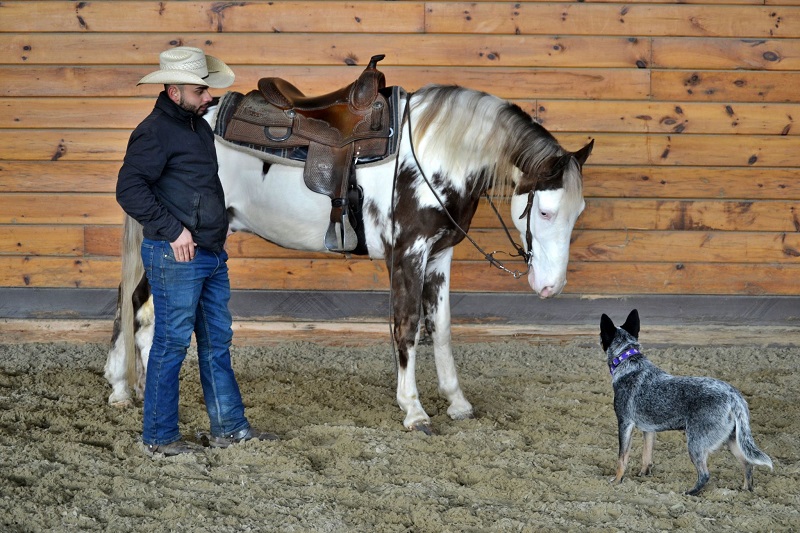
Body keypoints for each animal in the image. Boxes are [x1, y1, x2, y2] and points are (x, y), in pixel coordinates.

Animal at [104, 83, 594, 433]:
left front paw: (457, 402)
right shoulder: (408, 253)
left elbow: (442, 327)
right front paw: (414, 410)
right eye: (545, 212)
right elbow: (407, 328)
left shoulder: (439, 257)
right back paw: (129, 389)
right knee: (141, 309)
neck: (434, 152)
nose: (551, 286)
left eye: (578, 212)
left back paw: (125, 386)